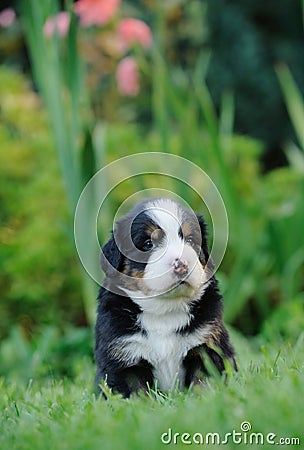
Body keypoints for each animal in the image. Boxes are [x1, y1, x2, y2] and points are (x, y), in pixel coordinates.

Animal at [94, 197, 236, 398]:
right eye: (148, 244)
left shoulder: (208, 344)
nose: (181, 264)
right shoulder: (123, 355)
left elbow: (203, 383)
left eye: (190, 240)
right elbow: (137, 394)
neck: (165, 310)